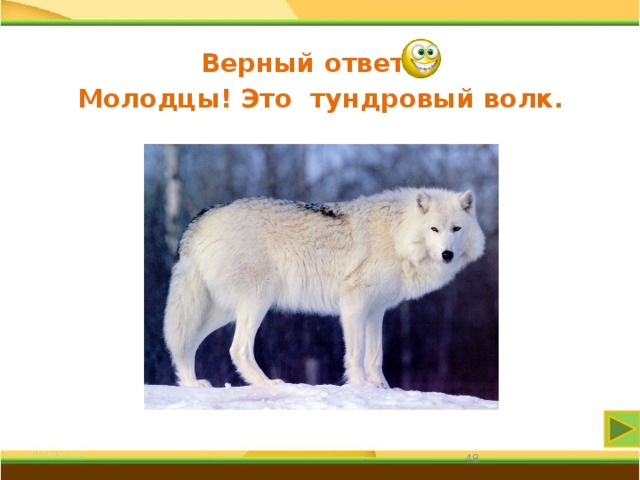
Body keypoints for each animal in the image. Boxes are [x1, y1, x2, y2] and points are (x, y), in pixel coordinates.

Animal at [163, 188, 485, 388]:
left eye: (456, 229)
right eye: (434, 229)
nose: (447, 254)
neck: (397, 235)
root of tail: (200, 220)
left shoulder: (376, 309)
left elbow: (375, 355)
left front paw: (382, 387)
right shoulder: (354, 302)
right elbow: (357, 353)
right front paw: (360, 385)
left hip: (222, 312)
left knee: (185, 343)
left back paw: (192, 384)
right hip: (256, 301)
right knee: (238, 349)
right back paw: (268, 384)